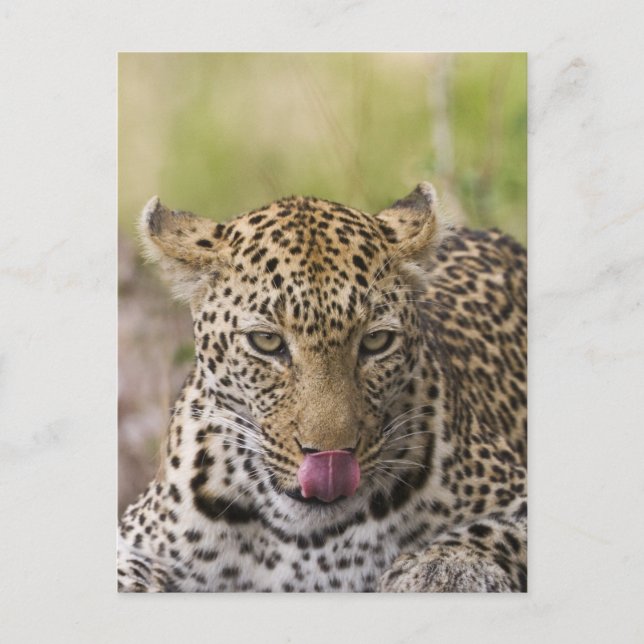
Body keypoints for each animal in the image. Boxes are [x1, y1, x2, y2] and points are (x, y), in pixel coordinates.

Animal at [118, 182, 527, 593]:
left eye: (376, 341)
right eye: (267, 341)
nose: (330, 457)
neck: (301, 538)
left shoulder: (515, 496)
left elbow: (486, 533)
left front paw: (440, 571)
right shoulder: (140, 535)